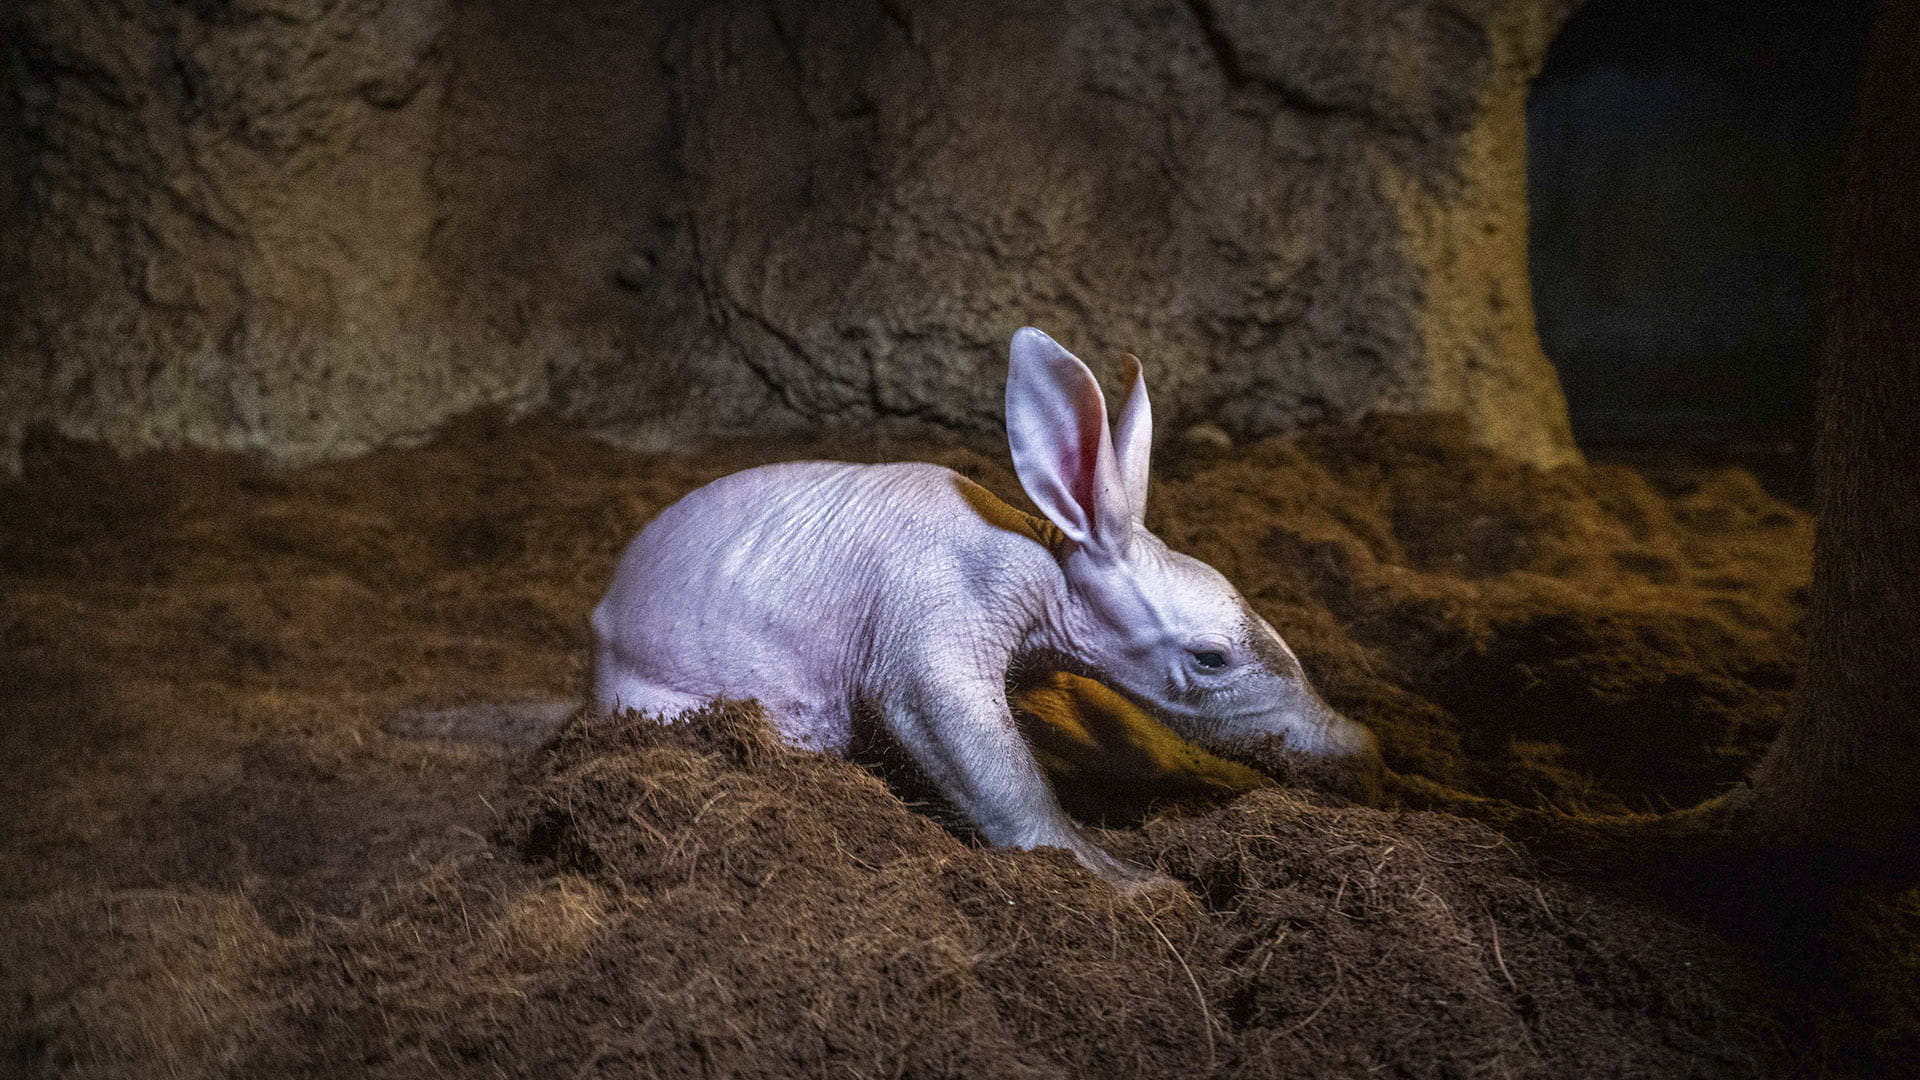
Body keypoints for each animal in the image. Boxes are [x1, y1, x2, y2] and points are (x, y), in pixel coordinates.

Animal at [591, 327, 1378, 884]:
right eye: (1211, 657)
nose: (1357, 742)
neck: (1050, 559)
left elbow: (1101, 722)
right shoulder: (938, 607)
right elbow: (956, 721)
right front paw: (1121, 875)